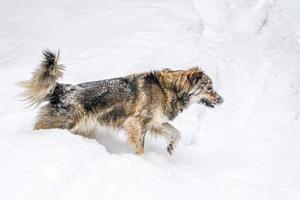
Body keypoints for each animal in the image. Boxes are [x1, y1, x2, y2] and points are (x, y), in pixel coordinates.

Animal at [19, 50, 223, 155]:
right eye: (209, 88)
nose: (222, 100)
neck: (169, 89)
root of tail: (63, 88)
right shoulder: (136, 123)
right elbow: (140, 148)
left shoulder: (156, 123)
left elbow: (177, 134)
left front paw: (171, 147)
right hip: (63, 124)